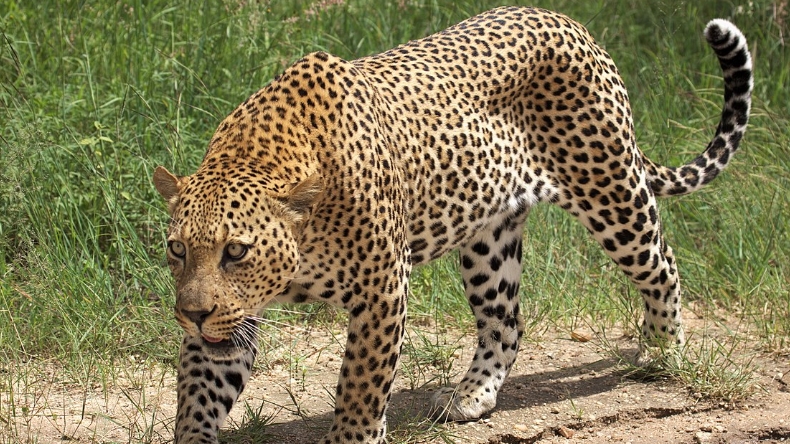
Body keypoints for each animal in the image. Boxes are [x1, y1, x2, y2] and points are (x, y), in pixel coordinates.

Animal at [153, 7, 752, 443]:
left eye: (236, 251)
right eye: (178, 250)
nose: (191, 313)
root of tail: (571, 22)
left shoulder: (382, 288)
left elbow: (361, 385)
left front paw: (352, 435)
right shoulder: (231, 317)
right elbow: (199, 392)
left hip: (611, 191)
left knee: (662, 264)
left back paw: (662, 350)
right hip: (489, 240)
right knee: (506, 323)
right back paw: (472, 395)